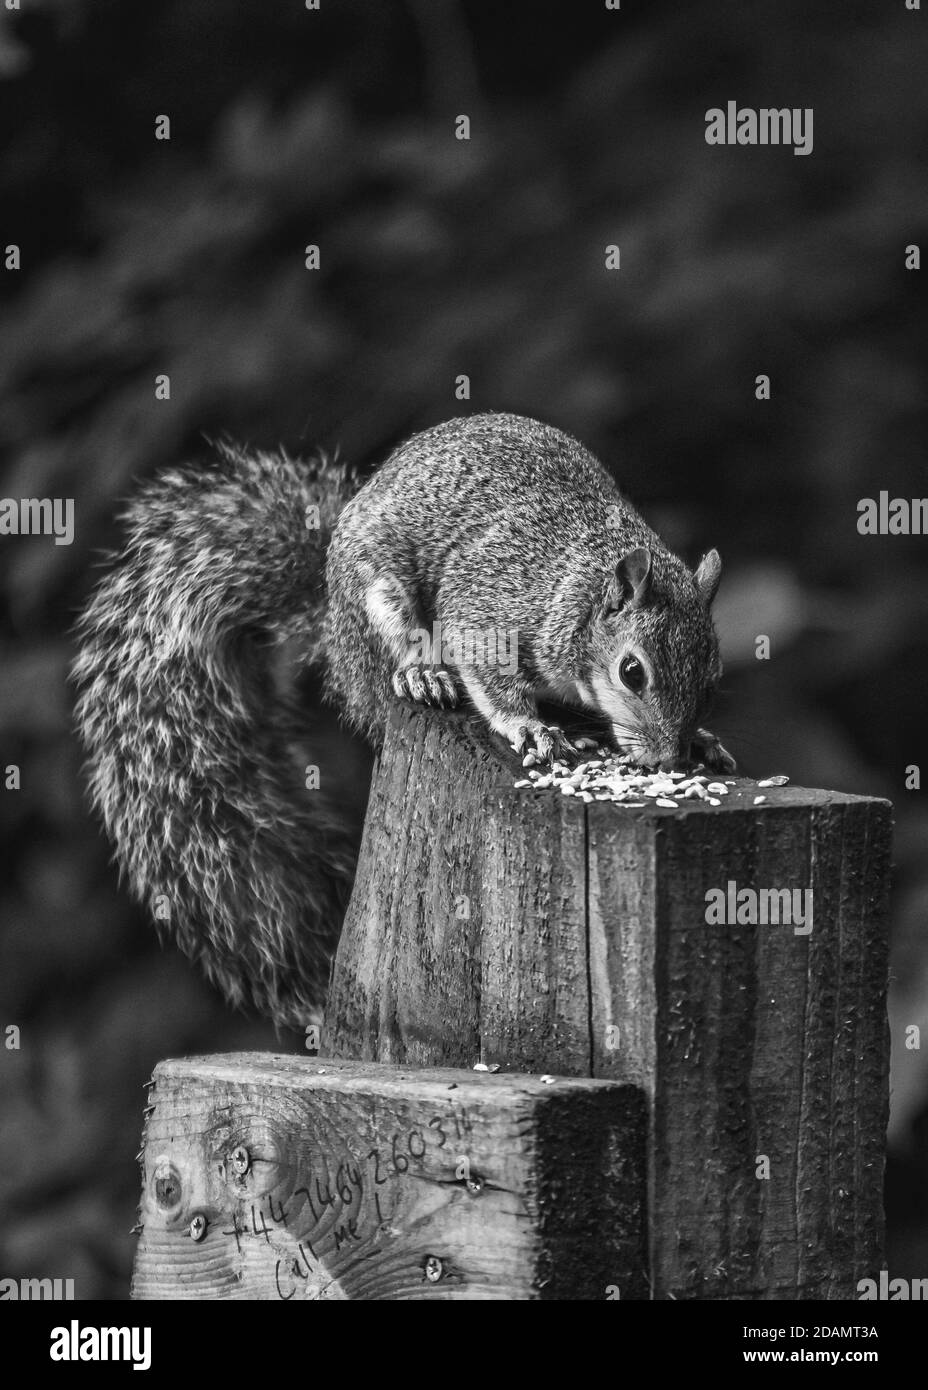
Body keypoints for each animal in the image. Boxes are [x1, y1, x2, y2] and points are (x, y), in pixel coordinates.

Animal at [72, 405, 733, 1028]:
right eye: (631, 672)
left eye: (712, 677)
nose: (668, 756)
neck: (574, 590)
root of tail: (338, 637)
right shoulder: (489, 605)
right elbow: (491, 676)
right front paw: (531, 726)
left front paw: (704, 741)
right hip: (379, 594)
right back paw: (422, 673)